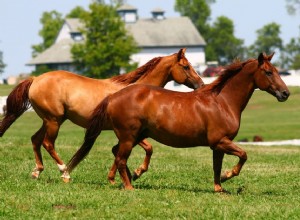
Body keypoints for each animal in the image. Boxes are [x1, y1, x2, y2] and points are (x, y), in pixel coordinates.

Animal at [0, 47, 203, 180]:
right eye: (186, 66)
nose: (201, 85)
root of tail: (35, 79)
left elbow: (134, 150)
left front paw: (127, 175)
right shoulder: (128, 131)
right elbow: (146, 149)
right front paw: (135, 173)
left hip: (52, 120)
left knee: (35, 139)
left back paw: (37, 171)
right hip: (53, 121)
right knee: (47, 143)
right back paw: (64, 171)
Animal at [64, 52, 290, 192]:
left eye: (277, 70)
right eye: (268, 72)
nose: (285, 93)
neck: (222, 101)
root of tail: (113, 97)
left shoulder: (217, 145)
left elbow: (216, 167)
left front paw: (219, 187)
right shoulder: (221, 141)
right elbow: (243, 155)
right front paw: (228, 175)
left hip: (135, 136)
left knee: (118, 154)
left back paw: (131, 176)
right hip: (129, 136)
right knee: (120, 159)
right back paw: (129, 186)